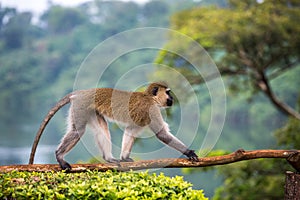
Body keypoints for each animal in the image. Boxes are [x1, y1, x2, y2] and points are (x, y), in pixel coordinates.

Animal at [29, 82, 198, 170]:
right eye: (168, 93)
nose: (172, 99)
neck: (150, 98)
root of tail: (82, 92)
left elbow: (130, 131)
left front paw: (124, 157)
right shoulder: (152, 110)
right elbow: (162, 134)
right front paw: (188, 152)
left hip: (89, 110)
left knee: (102, 128)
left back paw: (108, 158)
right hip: (80, 107)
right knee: (78, 131)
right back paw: (59, 155)